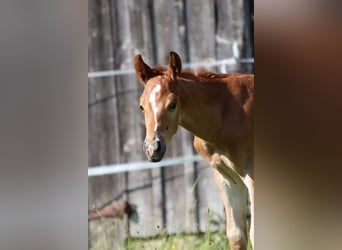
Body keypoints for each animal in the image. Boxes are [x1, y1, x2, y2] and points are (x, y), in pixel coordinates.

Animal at [134, 51, 254, 249]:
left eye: (172, 104)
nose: (153, 149)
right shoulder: (228, 179)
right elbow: (236, 234)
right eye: (141, 106)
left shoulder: (253, 177)